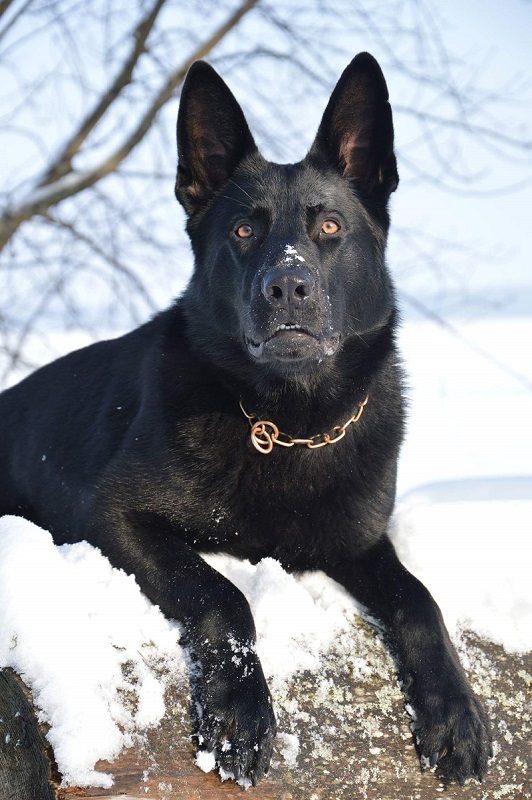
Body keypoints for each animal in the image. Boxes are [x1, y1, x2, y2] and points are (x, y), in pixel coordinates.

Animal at [0, 53, 490, 784]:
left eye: (329, 227)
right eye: (242, 231)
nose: (287, 286)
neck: (287, 422)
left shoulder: (358, 541)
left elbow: (420, 600)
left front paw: (455, 710)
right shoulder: (114, 514)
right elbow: (224, 594)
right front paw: (241, 712)